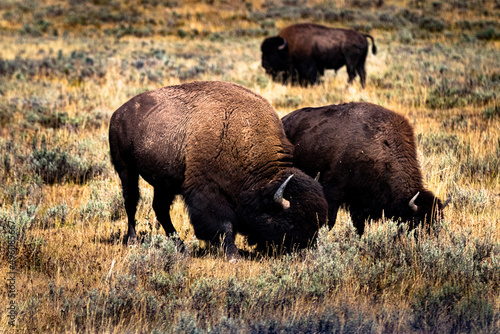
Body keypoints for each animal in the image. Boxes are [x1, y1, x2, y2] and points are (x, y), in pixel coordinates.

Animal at [109, 81, 328, 260]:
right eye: (291, 222)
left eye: (317, 224)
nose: (305, 253)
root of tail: (118, 113)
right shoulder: (208, 191)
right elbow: (224, 224)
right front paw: (233, 256)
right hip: (126, 168)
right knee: (131, 202)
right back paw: (133, 240)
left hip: (164, 182)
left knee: (160, 209)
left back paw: (180, 246)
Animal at [282, 102, 450, 235]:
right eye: (416, 221)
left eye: (438, 223)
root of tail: (284, 120)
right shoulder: (334, 191)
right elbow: (330, 221)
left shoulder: (360, 203)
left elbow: (359, 227)